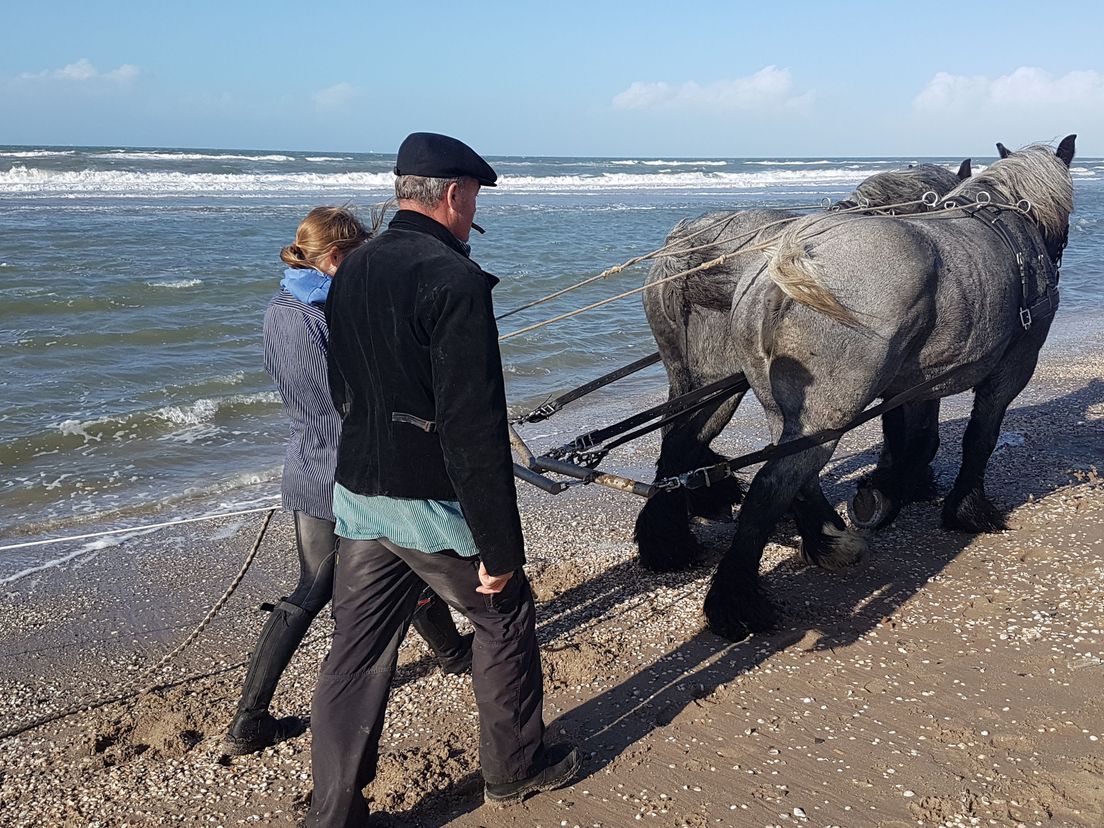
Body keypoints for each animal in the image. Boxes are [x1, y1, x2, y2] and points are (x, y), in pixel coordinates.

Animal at [635, 160, 971, 569]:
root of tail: (685, 248)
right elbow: (918, 435)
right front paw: (903, 486)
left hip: (703, 380)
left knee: (678, 444)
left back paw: (668, 540)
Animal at [693, 138, 1073, 640]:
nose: (1060, 248)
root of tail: (782, 265)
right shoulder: (1010, 372)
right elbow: (977, 439)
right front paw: (961, 507)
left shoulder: (917, 382)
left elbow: (913, 439)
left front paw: (894, 489)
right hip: (829, 412)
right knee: (772, 486)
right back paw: (735, 600)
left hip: (791, 412)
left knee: (796, 476)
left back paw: (827, 543)